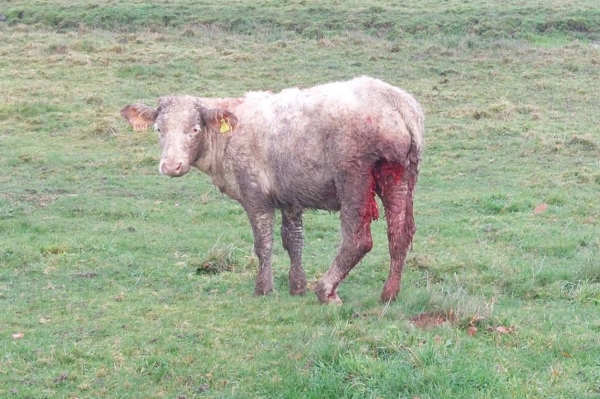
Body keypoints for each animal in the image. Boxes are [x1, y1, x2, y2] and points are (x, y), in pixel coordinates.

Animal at [120, 76, 422, 304]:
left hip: (354, 178)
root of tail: (395, 101)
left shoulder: (254, 193)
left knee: (358, 239)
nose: (171, 165)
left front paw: (263, 288)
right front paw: (297, 286)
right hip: (399, 175)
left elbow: (263, 242)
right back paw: (389, 294)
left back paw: (326, 290)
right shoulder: (290, 195)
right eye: (158, 129)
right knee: (400, 233)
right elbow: (293, 240)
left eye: (194, 129)